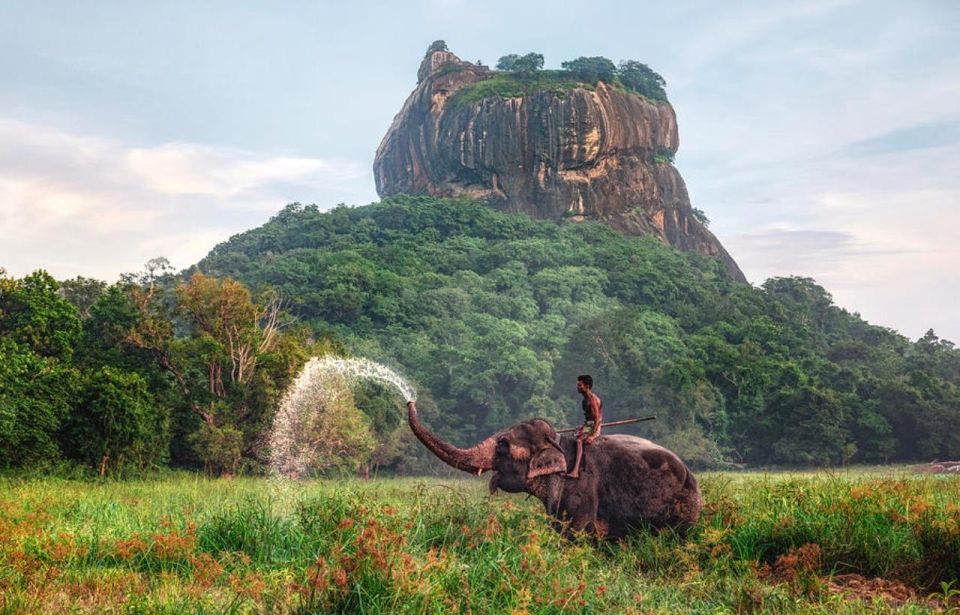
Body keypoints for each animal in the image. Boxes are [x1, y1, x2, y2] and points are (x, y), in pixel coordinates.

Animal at [404, 400, 696, 540]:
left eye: (503, 445)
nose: (410, 402)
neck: (558, 443)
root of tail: (690, 473)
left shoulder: (582, 490)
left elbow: (576, 532)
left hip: (683, 508)